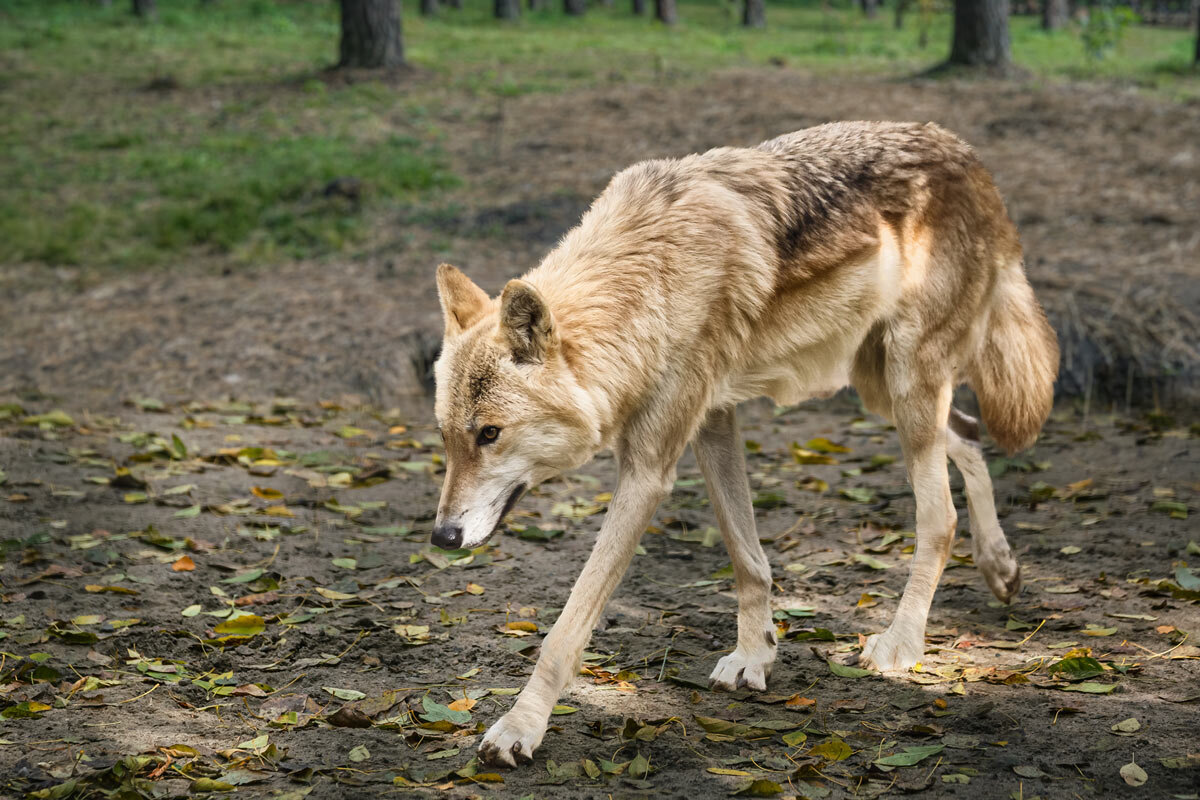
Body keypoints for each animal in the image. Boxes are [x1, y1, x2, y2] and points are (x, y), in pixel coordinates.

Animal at [430, 121, 1059, 768]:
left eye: (490, 434)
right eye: (447, 438)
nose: (442, 536)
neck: (650, 278)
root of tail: (964, 152)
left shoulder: (648, 469)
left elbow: (565, 627)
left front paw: (519, 727)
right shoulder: (713, 421)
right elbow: (746, 555)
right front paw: (757, 655)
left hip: (908, 388)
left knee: (940, 516)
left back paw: (901, 644)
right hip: (883, 390)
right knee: (969, 434)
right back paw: (1001, 567)